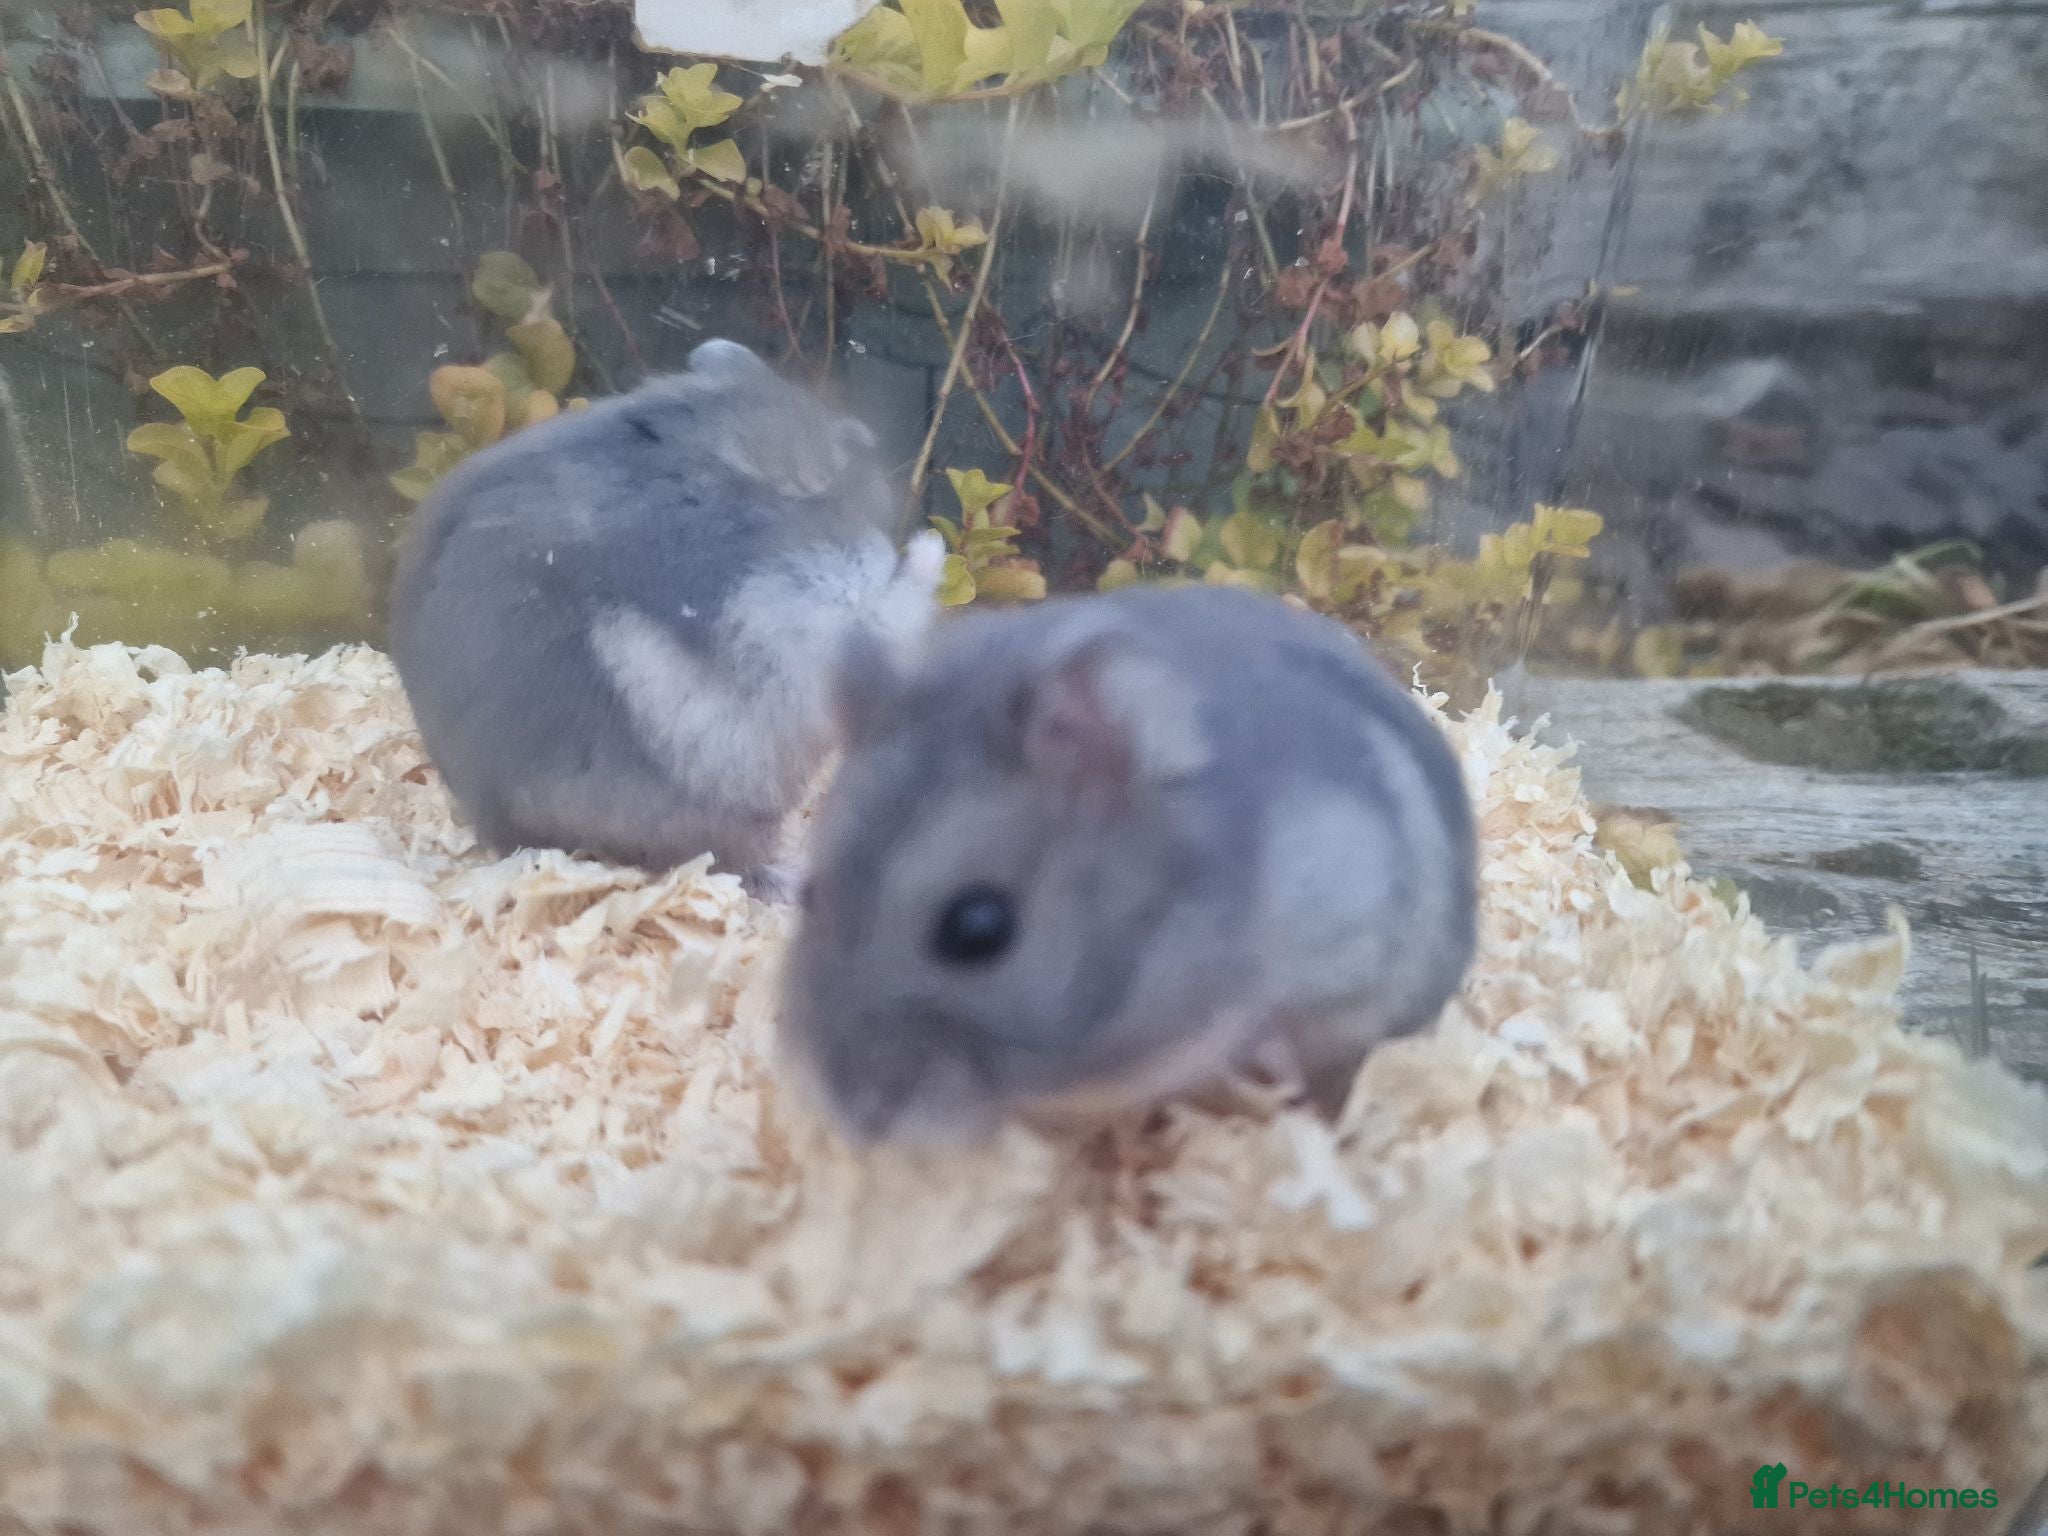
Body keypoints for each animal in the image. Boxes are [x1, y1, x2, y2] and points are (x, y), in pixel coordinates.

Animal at [386, 339, 944, 898]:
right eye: (851, 457)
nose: (874, 449)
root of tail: (507, 842)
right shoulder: (826, 605)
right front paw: (931, 545)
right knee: (738, 864)